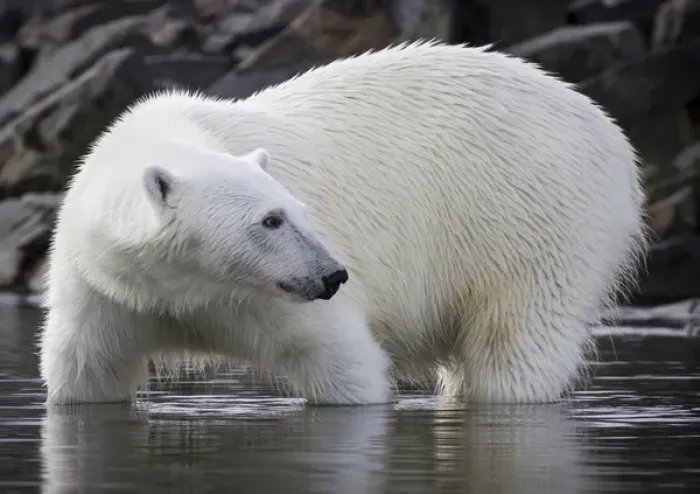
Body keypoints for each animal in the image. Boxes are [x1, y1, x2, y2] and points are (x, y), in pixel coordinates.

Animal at [38, 40, 648, 406]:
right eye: (271, 219)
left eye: (296, 211)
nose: (333, 276)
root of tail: (611, 135)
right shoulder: (104, 288)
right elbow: (85, 373)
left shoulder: (268, 298)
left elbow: (343, 364)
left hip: (532, 220)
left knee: (514, 346)